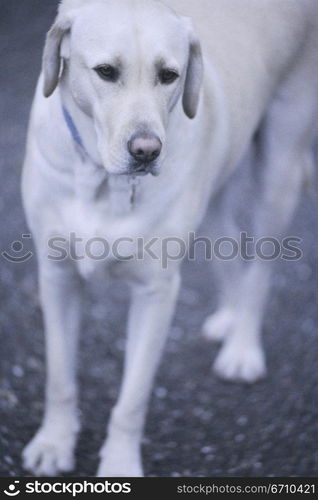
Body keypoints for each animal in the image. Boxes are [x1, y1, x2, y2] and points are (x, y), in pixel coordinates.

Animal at [21, 0, 316, 476]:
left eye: (169, 75)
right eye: (106, 72)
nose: (147, 151)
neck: (102, 179)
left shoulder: (156, 293)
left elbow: (133, 398)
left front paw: (119, 466)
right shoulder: (57, 276)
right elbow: (60, 376)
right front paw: (53, 443)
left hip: (280, 169)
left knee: (260, 268)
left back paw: (242, 346)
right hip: (218, 185)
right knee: (227, 242)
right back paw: (229, 316)